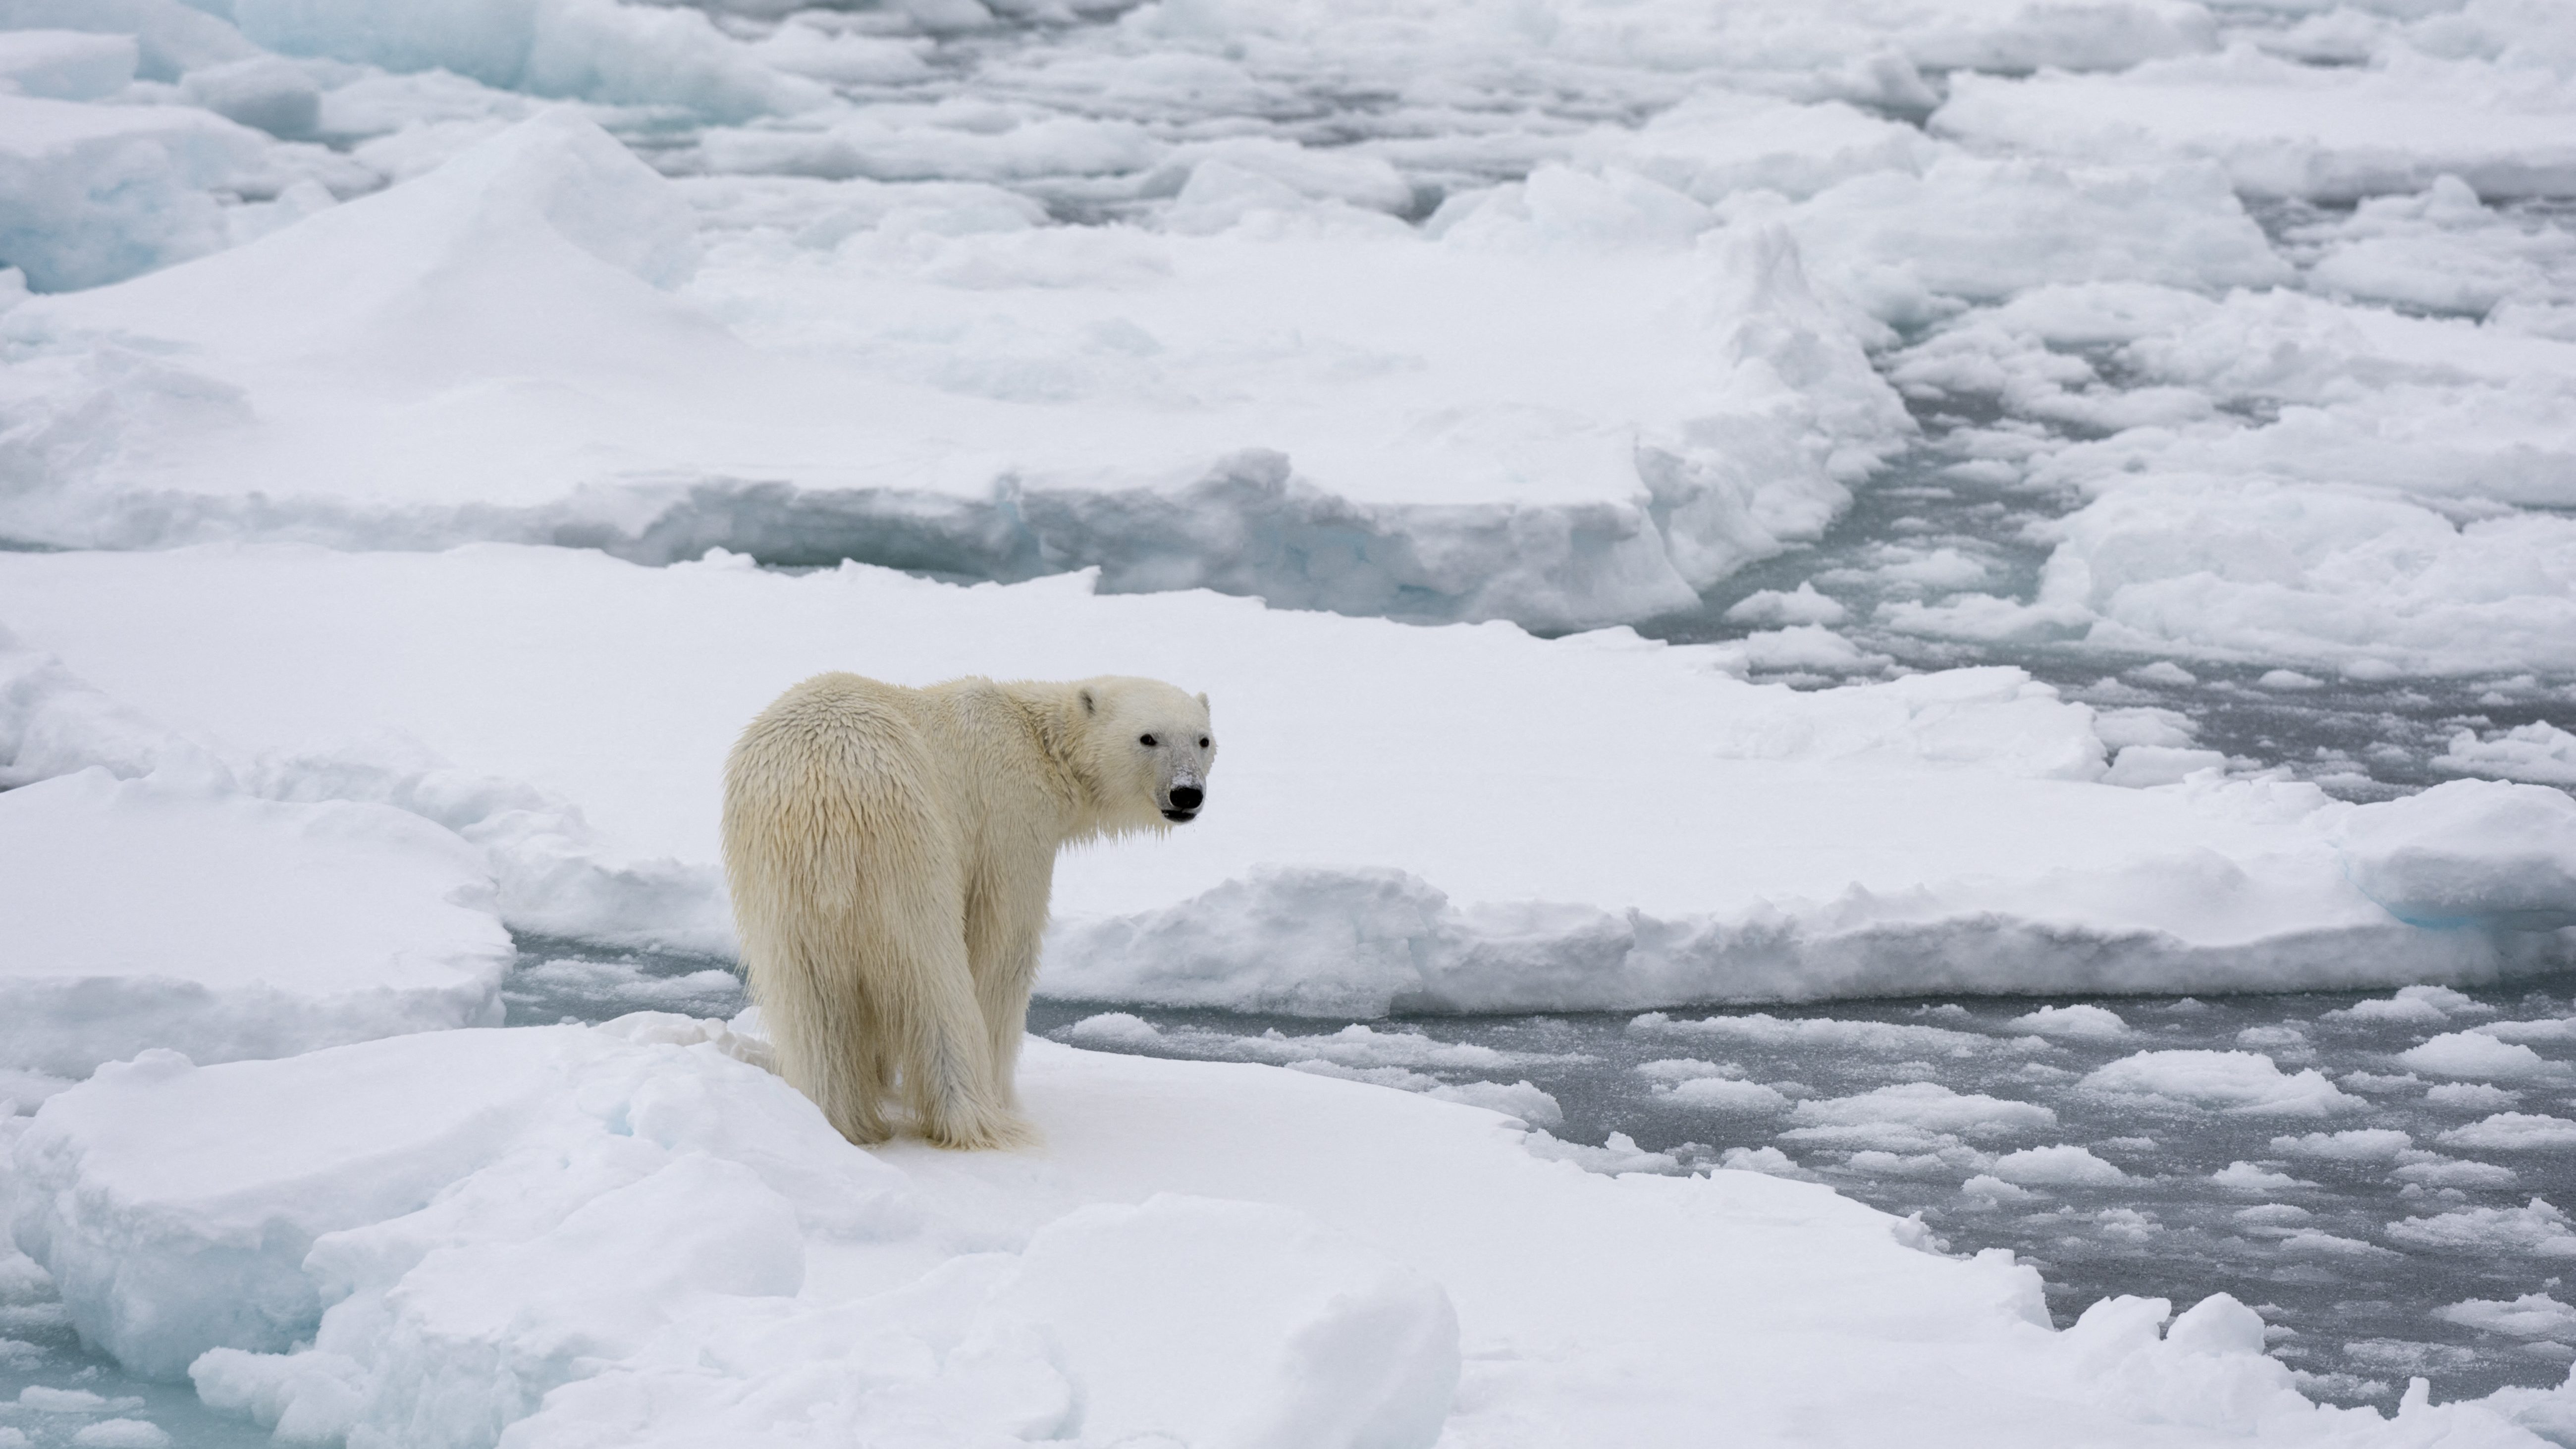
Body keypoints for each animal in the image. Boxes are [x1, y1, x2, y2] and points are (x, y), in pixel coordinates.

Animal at [721, 670, 1211, 1144]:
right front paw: (1003, 1093)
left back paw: (841, 1119)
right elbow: (1004, 949)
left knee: (810, 1004)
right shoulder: (1009, 817)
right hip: (910, 848)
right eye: (1148, 737)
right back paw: (973, 1117)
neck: (1038, 740)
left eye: (1204, 739)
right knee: (936, 976)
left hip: (777, 887)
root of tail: (825, 803)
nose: (1187, 793)